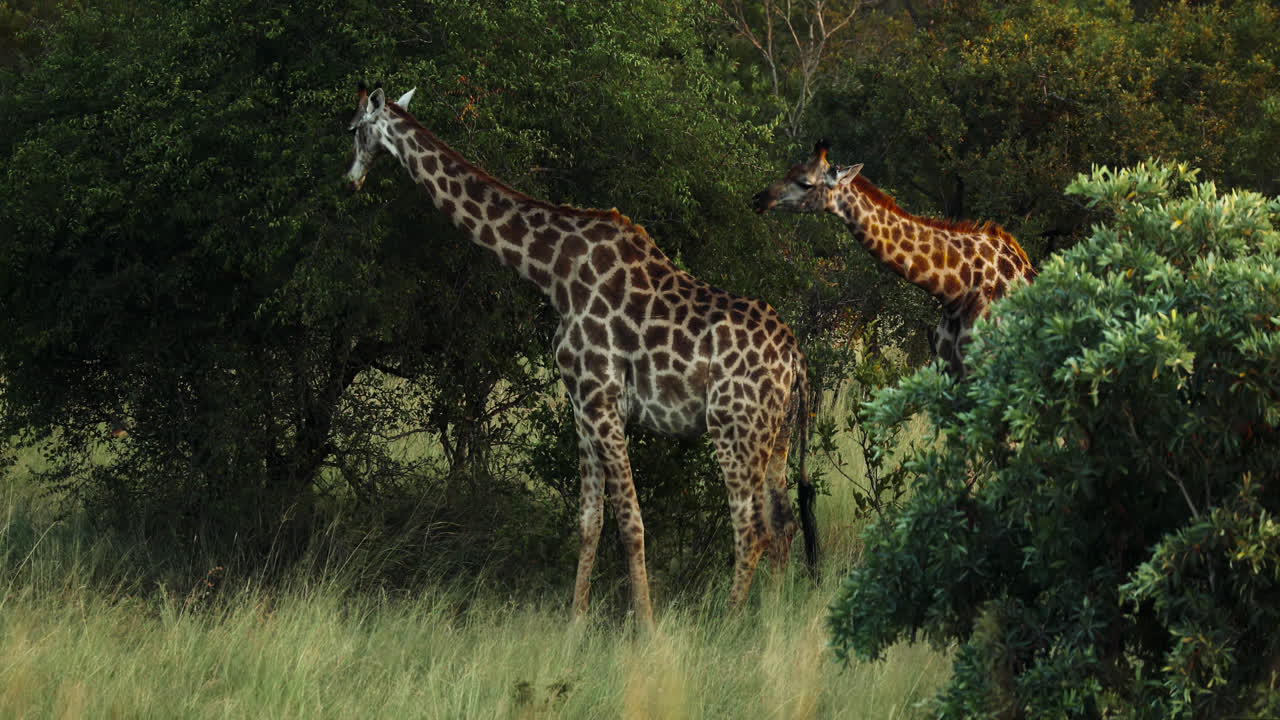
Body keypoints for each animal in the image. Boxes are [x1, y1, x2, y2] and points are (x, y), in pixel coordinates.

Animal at [344, 84, 816, 628]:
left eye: (353, 127)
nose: (349, 180)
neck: (552, 271)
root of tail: (797, 361)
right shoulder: (581, 405)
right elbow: (590, 520)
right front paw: (575, 624)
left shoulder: (600, 399)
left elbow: (630, 520)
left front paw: (645, 627)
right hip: (776, 437)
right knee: (782, 526)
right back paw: (769, 625)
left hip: (733, 430)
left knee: (751, 529)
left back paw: (727, 624)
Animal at [752, 141, 1036, 376]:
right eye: (790, 170)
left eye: (806, 183)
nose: (759, 198)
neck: (960, 287)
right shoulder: (948, 370)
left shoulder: (984, 373)